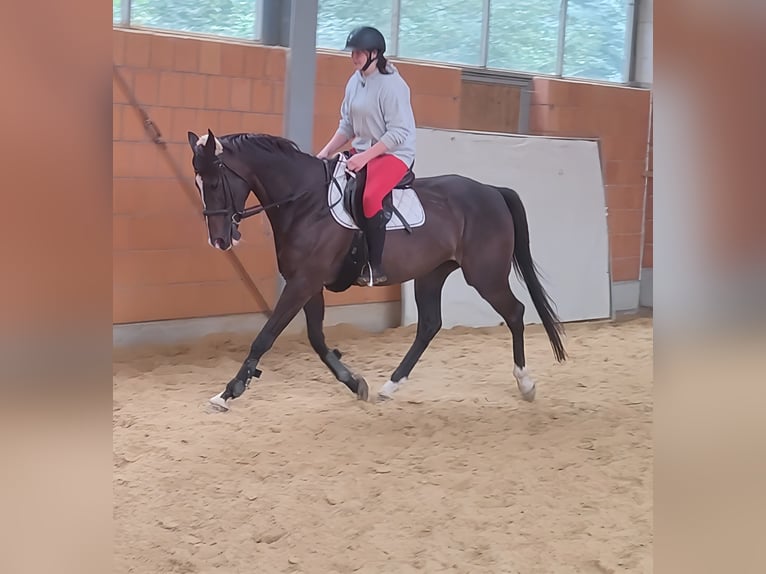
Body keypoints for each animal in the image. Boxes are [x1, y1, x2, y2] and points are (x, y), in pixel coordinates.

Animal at [188, 128, 568, 412]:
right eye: (197, 183)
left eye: (215, 181)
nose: (219, 240)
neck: (306, 201)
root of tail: (491, 191)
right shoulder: (308, 283)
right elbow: (317, 338)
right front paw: (355, 382)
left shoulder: (303, 282)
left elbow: (265, 337)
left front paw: (228, 392)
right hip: (431, 274)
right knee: (429, 325)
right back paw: (391, 385)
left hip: (485, 275)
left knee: (515, 312)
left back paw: (525, 383)